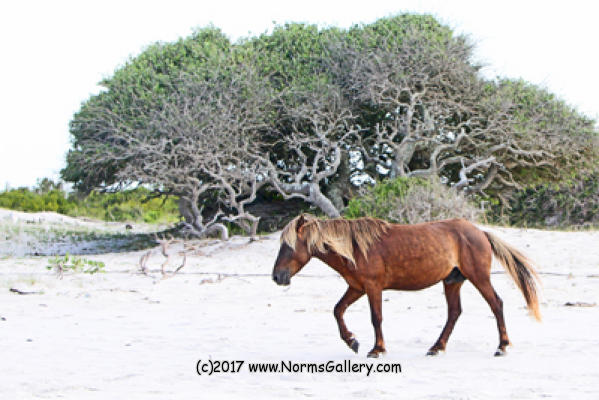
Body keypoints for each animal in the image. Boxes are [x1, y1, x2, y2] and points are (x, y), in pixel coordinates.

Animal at [274, 214, 544, 358]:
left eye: (288, 246)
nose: (277, 277)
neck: (357, 248)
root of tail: (480, 232)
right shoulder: (357, 288)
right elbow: (338, 310)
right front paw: (352, 341)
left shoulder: (372, 288)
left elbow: (376, 318)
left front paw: (377, 349)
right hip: (452, 282)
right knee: (454, 313)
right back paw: (436, 347)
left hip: (479, 277)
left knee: (496, 304)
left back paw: (502, 346)